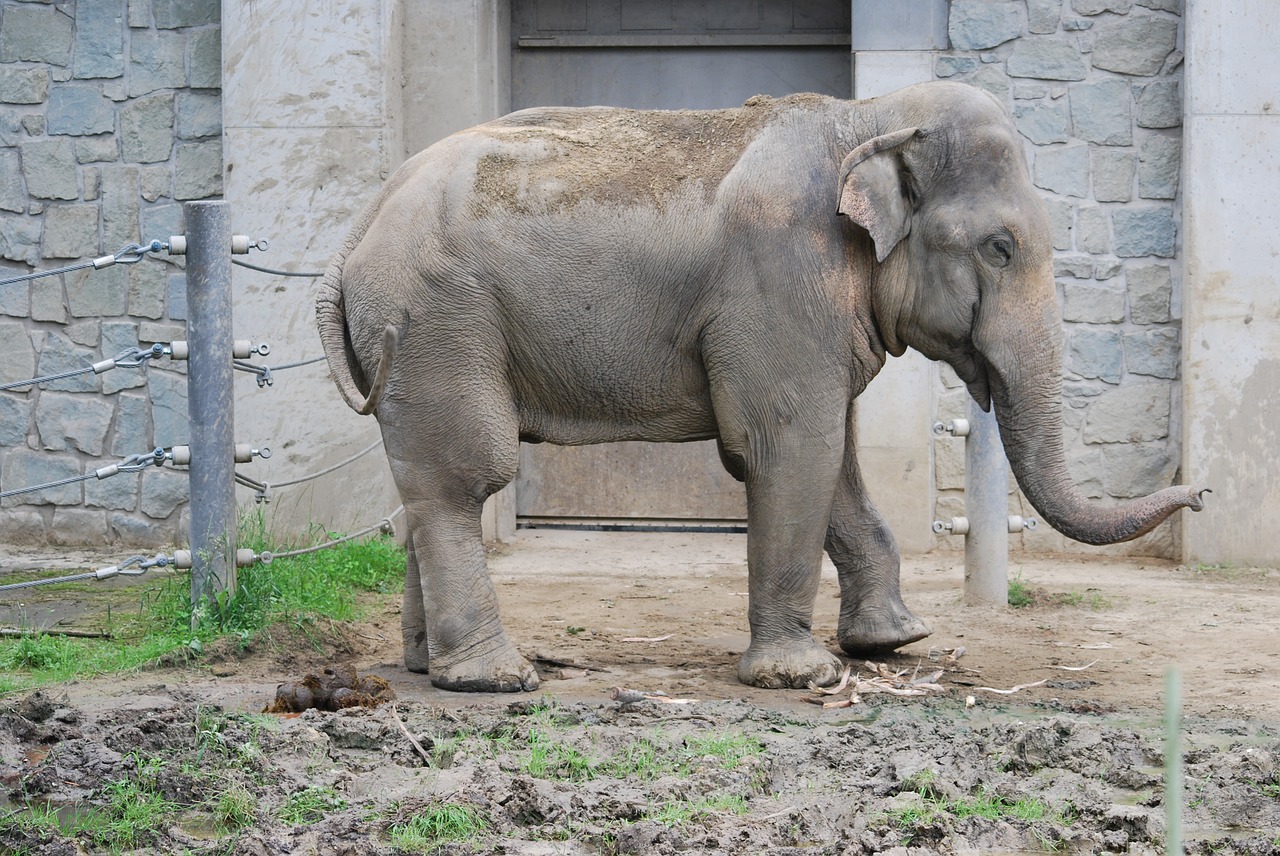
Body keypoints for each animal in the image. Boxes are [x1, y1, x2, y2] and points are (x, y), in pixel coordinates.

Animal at [314, 79, 1203, 696]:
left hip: (419, 336)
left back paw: (425, 666)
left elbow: (833, 457)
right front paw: (803, 676)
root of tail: (356, 231)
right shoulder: (780, 281)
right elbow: (789, 448)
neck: (867, 117)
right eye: (999, 248)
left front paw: (893, 642)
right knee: (465, 477)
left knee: (424, 486)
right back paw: (494, 679)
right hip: (437, 318)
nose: (1199, 493)